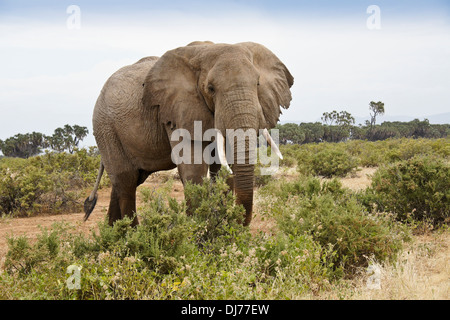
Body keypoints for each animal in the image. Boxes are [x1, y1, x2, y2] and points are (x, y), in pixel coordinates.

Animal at [83, 40, 296, 228]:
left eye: (258, 84)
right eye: (211, 88)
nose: (237, 221)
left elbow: (223, 167)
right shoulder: (178, 110)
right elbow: (193, 169)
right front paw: (197, 233)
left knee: (128, 180)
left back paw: (113, 235)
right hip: (105, 127)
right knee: (125, 180)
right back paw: (131, 237)